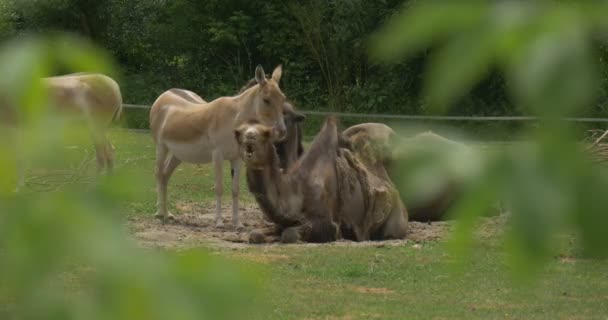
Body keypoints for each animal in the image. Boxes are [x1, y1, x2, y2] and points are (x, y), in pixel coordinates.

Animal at [150, 65, 288, 228]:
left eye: (283, 98)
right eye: (266, 100)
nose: (282, 132)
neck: (234, 119)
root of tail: (164, 94)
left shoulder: (237, 158)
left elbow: (235, 189)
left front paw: (237, 223)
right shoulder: (218, 155)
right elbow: (219, 187)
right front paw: (219, 222)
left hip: (177, 155)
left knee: (165, 175)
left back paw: (167, 213)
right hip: (161, 147)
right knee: (158, 173)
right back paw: (159, 213)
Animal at [235, 116, 406, 244]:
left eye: (265, 133)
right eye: (239, 132)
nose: (249, 137)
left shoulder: (328, 224)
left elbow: (289, 234)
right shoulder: (280, 221)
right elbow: (255, 234)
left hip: (397, 218)